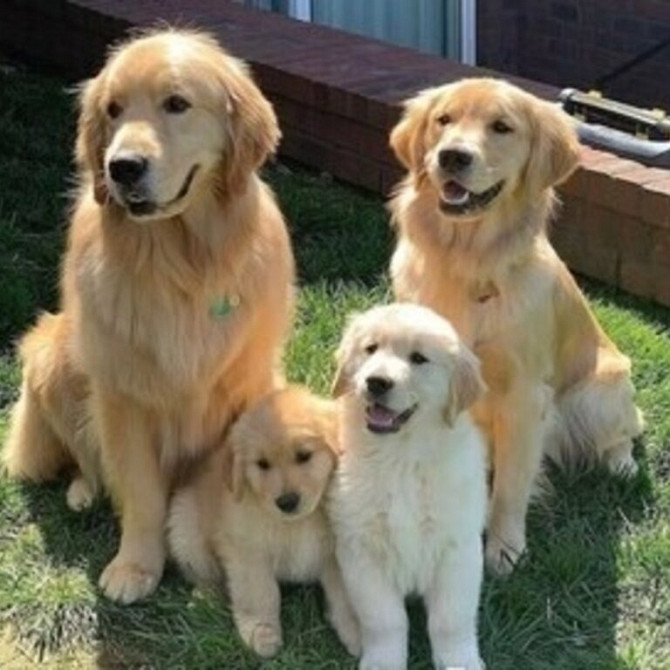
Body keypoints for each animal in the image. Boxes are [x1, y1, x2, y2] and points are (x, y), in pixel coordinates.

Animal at [2, 31, 296, 608]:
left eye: (176, 104)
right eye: (113, 111)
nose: (122, 167)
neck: (181, 264)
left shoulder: (241, 393)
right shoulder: (123, 398)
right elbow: (138, 492)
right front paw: (136, 567)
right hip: (50, 357)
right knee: (83, 458)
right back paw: (82, 491)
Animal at [167, 388, 362, 660]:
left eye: (304, 456)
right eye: (262, 464)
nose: (287, 502)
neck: (297, 523)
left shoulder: (338, 552)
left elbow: (346, 595)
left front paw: (357, 630)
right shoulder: (248, 552)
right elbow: (260, 594)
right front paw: (261, 632)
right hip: (184, 528)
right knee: (202, 572)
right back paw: (205, 597)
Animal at [330, 304, 488, 670]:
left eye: (419, 358)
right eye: (370, 349)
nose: (376, 382)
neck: (401, 458)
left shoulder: (457, 549)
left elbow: (450, 620)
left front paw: (460, 661)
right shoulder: (360, 550)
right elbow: (385, 620)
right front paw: (383, 662)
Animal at [392, 76, 644, 576]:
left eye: (502, 127)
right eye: (443, 120)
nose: (452, 156)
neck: (467, 262)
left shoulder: (525, 396)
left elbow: (511, 485)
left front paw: (504, 548)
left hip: (601, 389)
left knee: (625, 430)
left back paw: (622, 464)